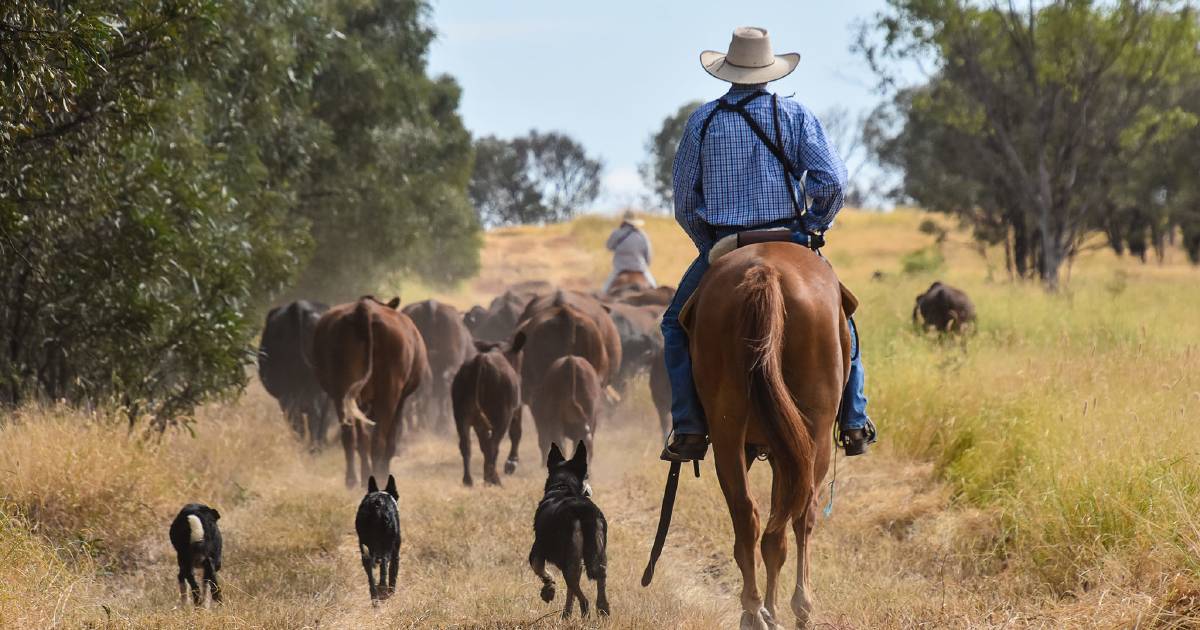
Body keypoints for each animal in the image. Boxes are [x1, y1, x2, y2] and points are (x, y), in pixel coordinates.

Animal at [312, 295, 429, 487]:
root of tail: (364, 309)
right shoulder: (401, 400)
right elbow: (391, 439)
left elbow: (361, 437)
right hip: (389, 391)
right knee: (379, 441)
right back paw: (379, 476)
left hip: (341, 390)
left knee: (350, 436)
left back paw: (352, 479)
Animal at [451, 338, 523, 487]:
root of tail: (481, 360)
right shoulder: (516, 410)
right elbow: (516, 433)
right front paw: (511, 464)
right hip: (502, 417)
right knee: (493, 445)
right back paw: (494, 480)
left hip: (461, 416)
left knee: (466, 445)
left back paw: (469, 480)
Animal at [528, 439, 609, 614]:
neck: (563, 486)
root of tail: (582, 509)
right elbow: (570, 593)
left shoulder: (537, 551)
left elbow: (540, 570)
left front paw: (549, 589)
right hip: (599, 556)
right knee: (598, 586)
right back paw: (601, 611)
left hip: (568, 561)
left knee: (582, 598)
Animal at [686, 244, 844, 628]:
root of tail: (765, 271)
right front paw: (778, 609)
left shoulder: (776, 451)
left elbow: (773, 538)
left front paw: (769, 610)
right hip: (813, 436)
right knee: (802, 515)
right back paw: (796, 606)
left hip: (730, 432)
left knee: (749, 516)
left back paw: (757, 609)